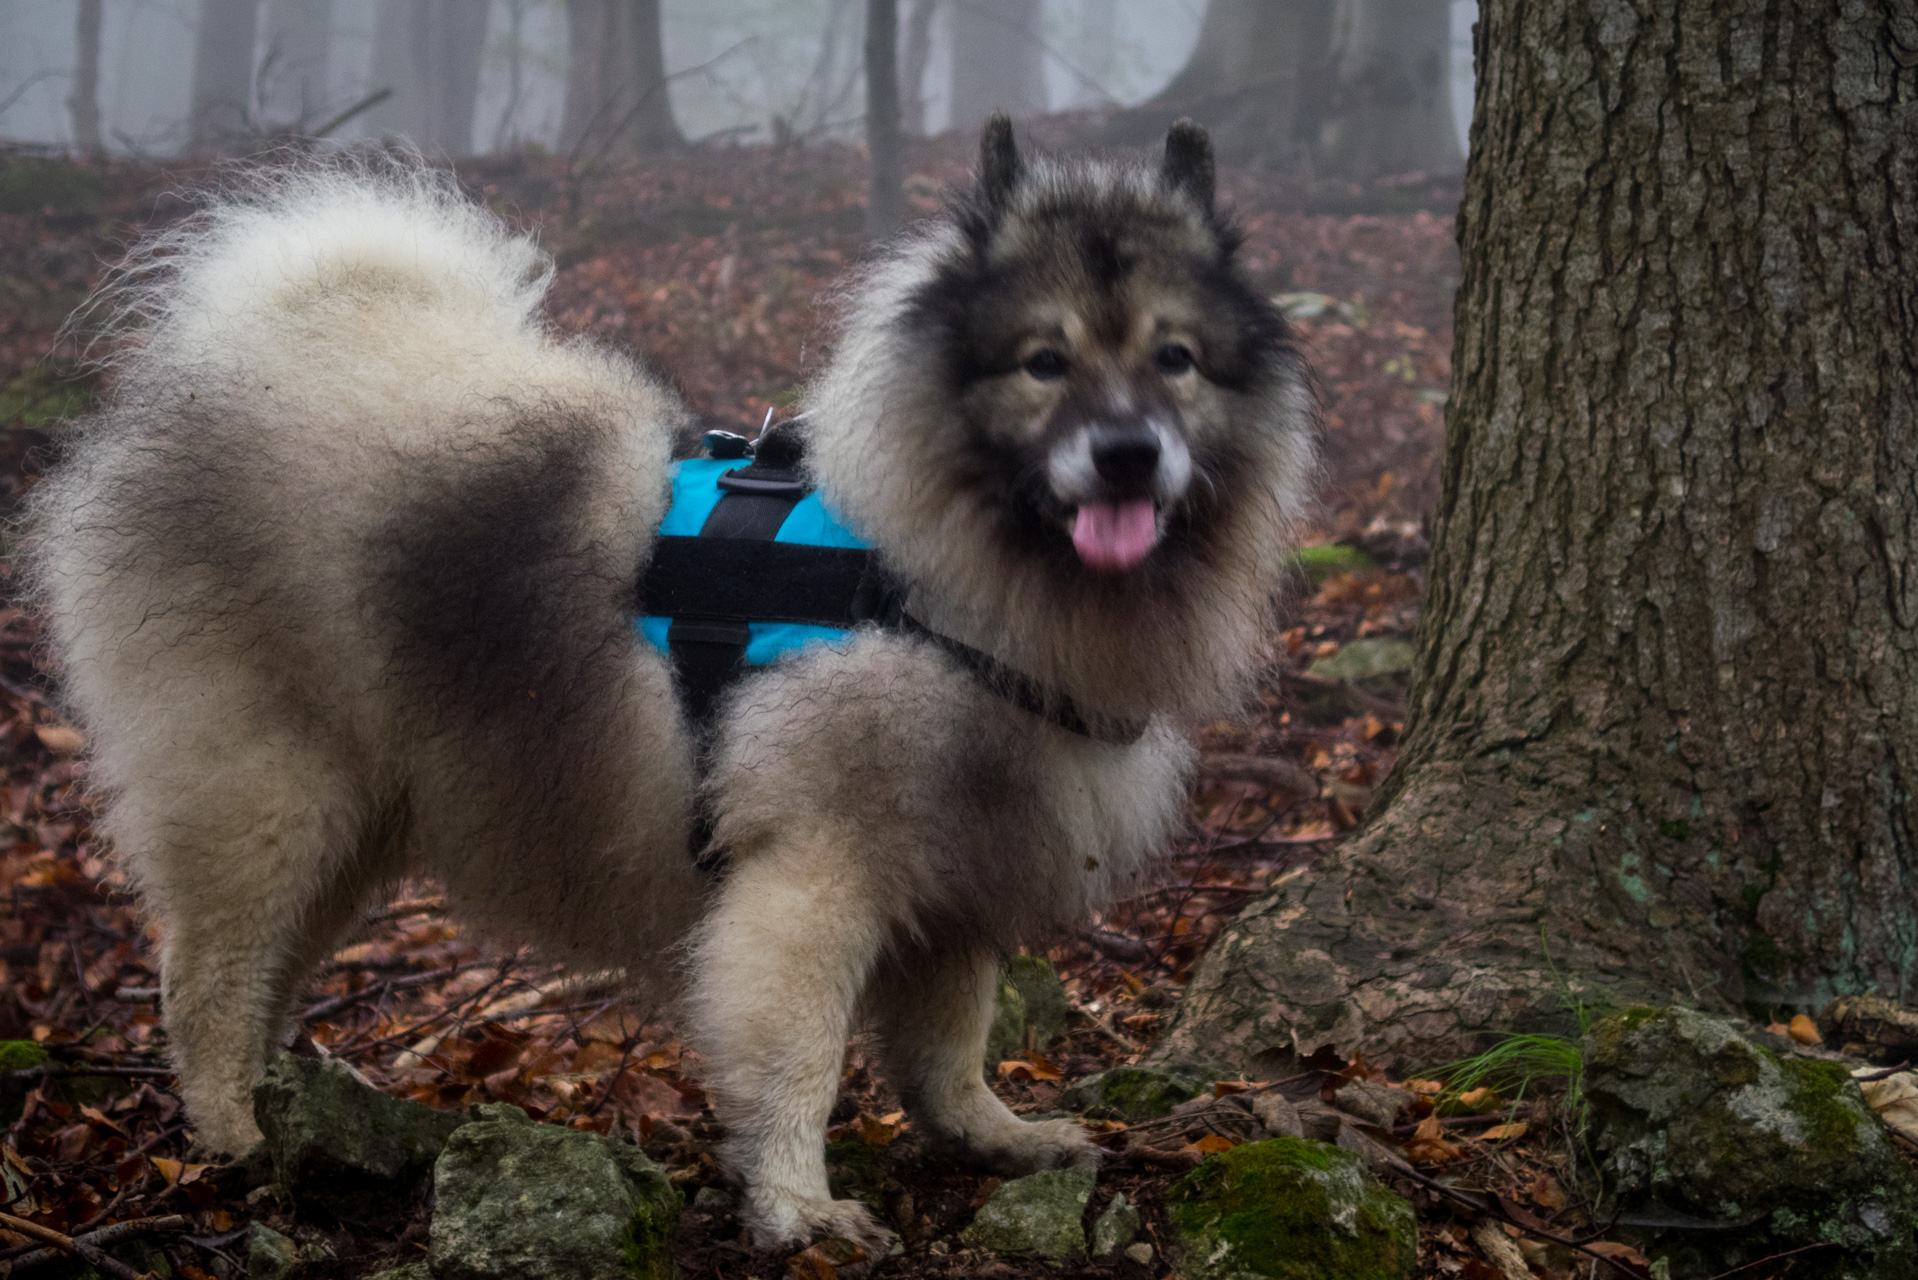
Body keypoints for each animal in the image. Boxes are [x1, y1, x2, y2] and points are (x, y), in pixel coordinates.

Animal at [29, 122, 1311, 1251]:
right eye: (1045, 362)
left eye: (1174, 360)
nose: (1127, 453)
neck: (930, 577)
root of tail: (233, 365)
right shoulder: (813, 875)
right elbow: (800, 1053)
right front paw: (798, 1204)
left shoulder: (955, 866)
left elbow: (950, 1042)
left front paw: (991, 1133)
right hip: (270, 791)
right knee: (204, 974)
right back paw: (235, 1128)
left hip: (355, 813)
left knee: (270, 965)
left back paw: (287, 1105)